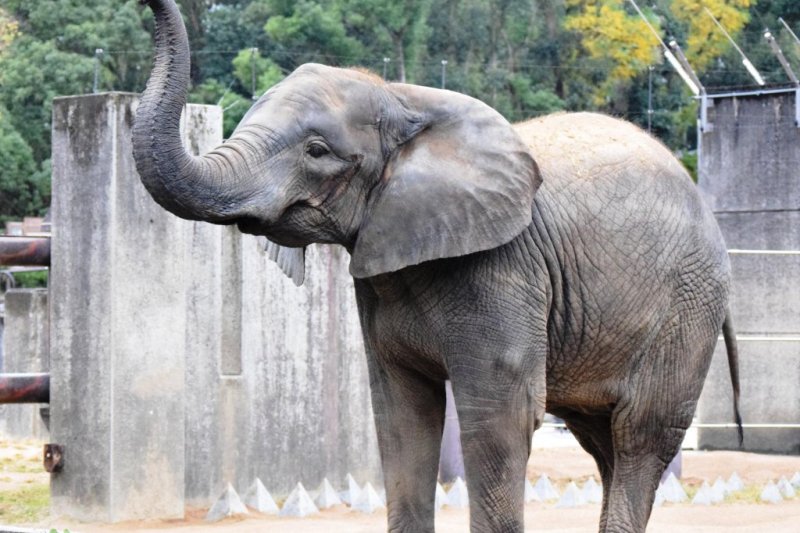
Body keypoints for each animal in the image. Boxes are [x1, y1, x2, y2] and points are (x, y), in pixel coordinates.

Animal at [133, 2, 744, 528]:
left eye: (316, 151)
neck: (402, 101)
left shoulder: (502, 268)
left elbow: (500, 417)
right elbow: (401, 415)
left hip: (687, 307)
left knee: (641, 431)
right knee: (602, 441)